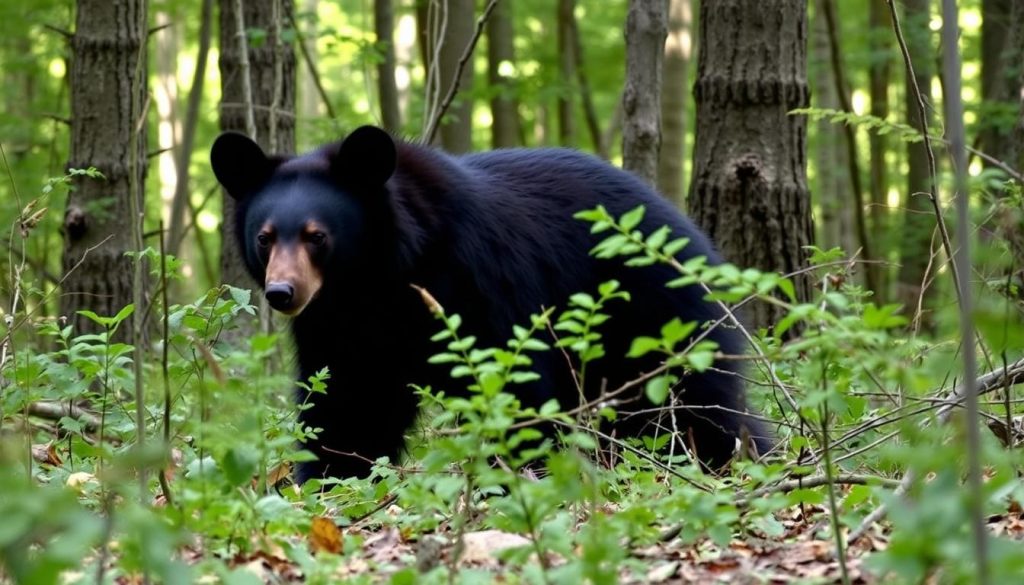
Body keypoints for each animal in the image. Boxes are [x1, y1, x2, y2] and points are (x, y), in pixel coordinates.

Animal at [210, 126, 772, 483]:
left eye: (317, 236)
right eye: (264, 238)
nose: (283, 293)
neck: (377, 280)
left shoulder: (480, 278)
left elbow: (513, 380)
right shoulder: (337, 325)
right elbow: (348, 402)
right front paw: (325, 477)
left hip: (657, 315)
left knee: (700, 401)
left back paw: (738, 459)